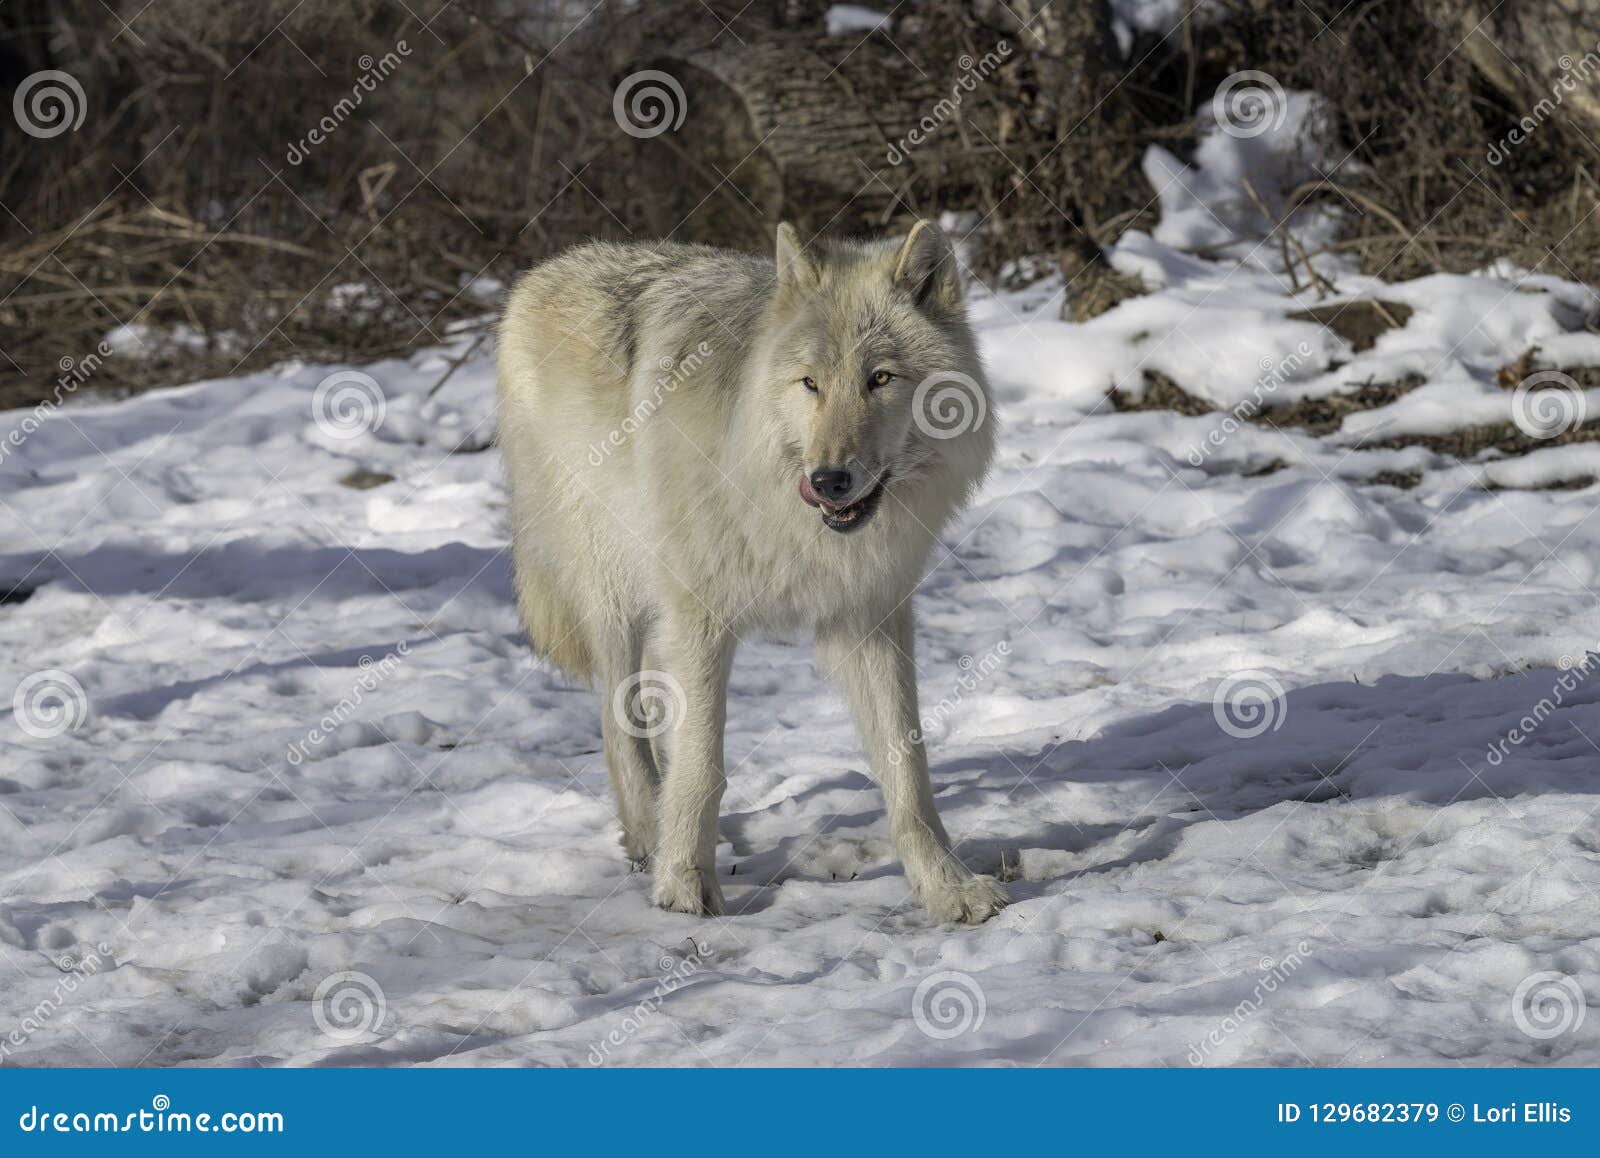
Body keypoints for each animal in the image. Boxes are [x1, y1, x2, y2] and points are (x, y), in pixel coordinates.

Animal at [492, 219, 1004, 921]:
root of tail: (545, 271)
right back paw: (649, 833)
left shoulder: (871, 617)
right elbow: (703, 763)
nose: (829, 479)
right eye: (810, 384)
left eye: (881, 378)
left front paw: (947, 887)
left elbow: (908, 771)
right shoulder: (701, 617)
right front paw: (684, 883)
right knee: (617, 716)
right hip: (615, 590)